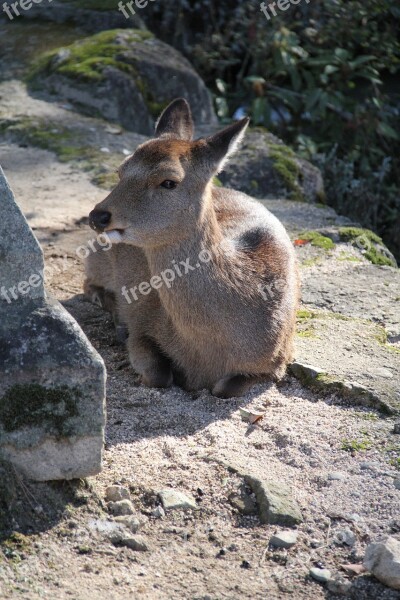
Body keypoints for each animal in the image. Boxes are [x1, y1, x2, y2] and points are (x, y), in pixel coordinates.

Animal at [84, 98, 298, 398]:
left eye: (169, 181)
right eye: (121, 171)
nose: (98, 216)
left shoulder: (279, 359)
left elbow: (223, 388)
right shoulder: (144, 322)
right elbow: (159, 374)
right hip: (98, 257)